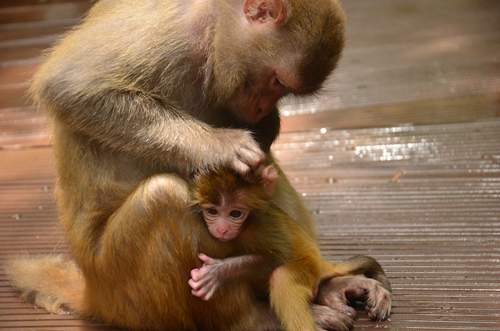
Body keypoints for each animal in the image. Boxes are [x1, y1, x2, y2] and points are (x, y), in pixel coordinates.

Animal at [5, 0, 392, 330]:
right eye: (277, 81)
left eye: (282, 90)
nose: (264, 109)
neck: (212, 29)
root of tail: (93, 291)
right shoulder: (169, 35)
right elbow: (71, 87)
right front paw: (218, 145)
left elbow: (257, 160)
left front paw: (264, 129)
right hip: (124, 287)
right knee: (164, 198)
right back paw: (253, 320)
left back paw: (325, 282)